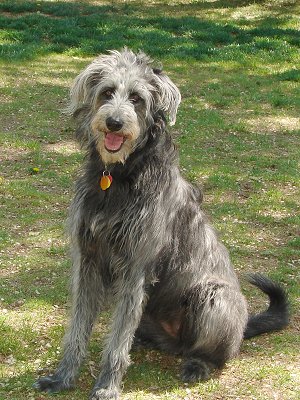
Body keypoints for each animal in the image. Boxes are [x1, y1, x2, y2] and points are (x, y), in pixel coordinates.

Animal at [34, 48, 290, 398]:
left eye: (137, 98)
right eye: (107, 92)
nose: (114, 123)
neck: (118, 176)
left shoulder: (135, 267)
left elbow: (116, 345)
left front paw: (107, 386)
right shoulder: (87, 259)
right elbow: (78, 328)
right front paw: (62, 377)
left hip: (214, 299)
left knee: (217, 352)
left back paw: (199, 363)